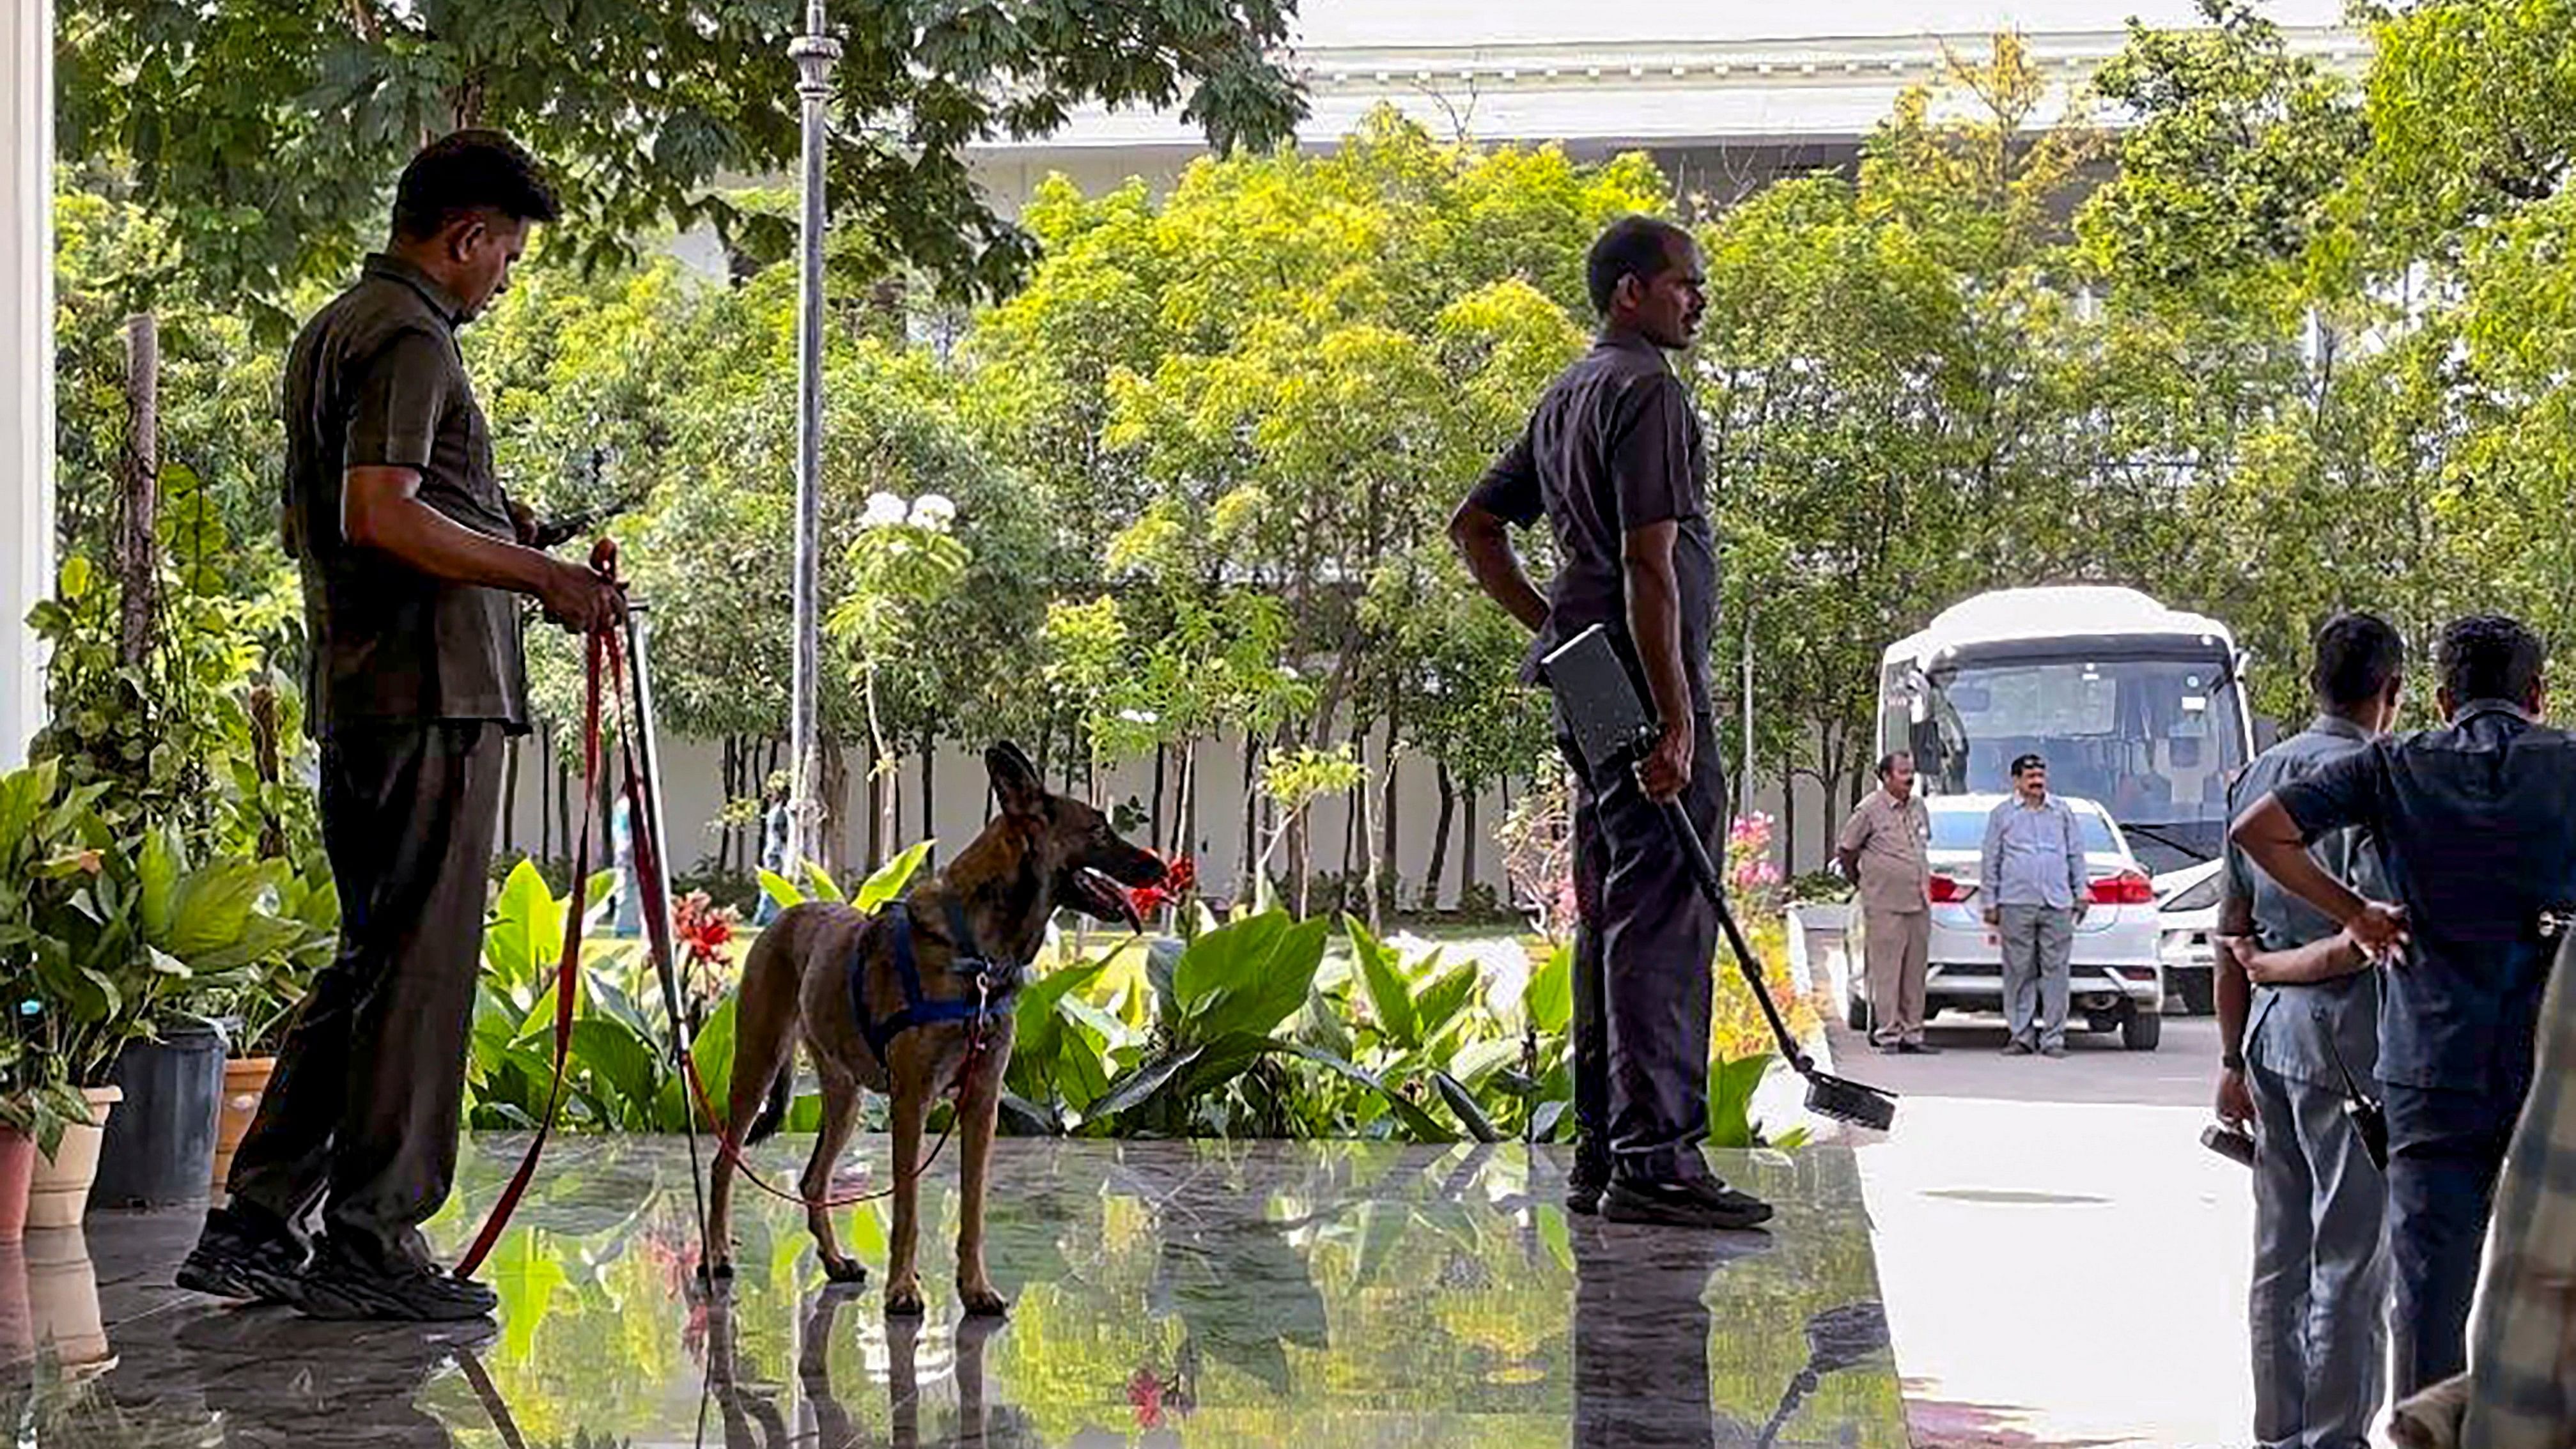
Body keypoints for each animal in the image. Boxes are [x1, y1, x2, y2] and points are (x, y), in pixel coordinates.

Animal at [701, 741, 1154, 1317]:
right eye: (1098, 830)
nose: (1161, 867)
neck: (975, 952)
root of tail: (784, 917)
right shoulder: (911, 1102)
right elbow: (908, 1209)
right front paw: (902, 1288)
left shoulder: (981, 1106)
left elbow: (973, 1212)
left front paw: (974, 1287)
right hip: (756, 1066)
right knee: (723, 1163)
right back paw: (716, 1254)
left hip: (844, 1096)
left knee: (812, 1179)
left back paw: (834, 1261)